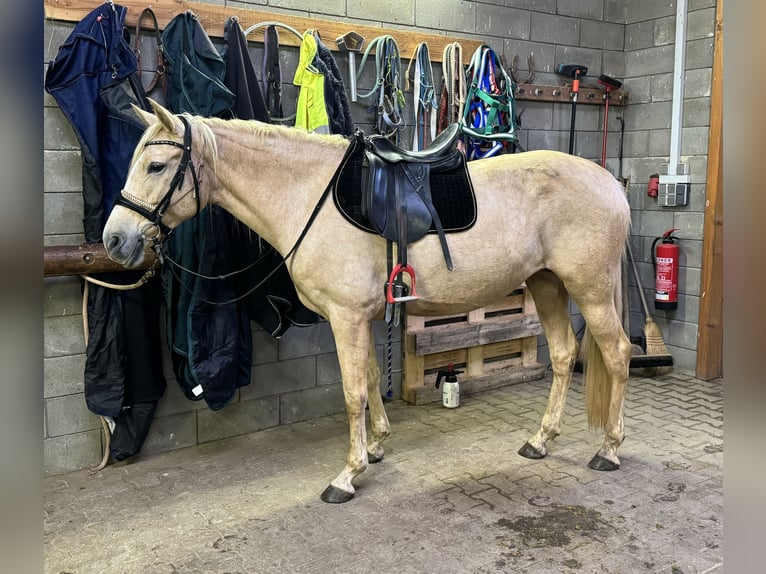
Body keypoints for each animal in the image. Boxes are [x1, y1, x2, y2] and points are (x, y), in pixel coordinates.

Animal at [102, 101, 632, 506]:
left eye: (156, 166)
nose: (114, 240)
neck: (306, 195)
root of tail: (610, 183)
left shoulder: (346, 317)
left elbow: (352, 390)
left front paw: (348, 474)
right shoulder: (362, 319)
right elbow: (374, 378)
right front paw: (376, 446)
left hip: (589, 291)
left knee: (617, 355)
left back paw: (609, 449)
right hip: (547, 285)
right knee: (563, 355)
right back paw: (540, 441)